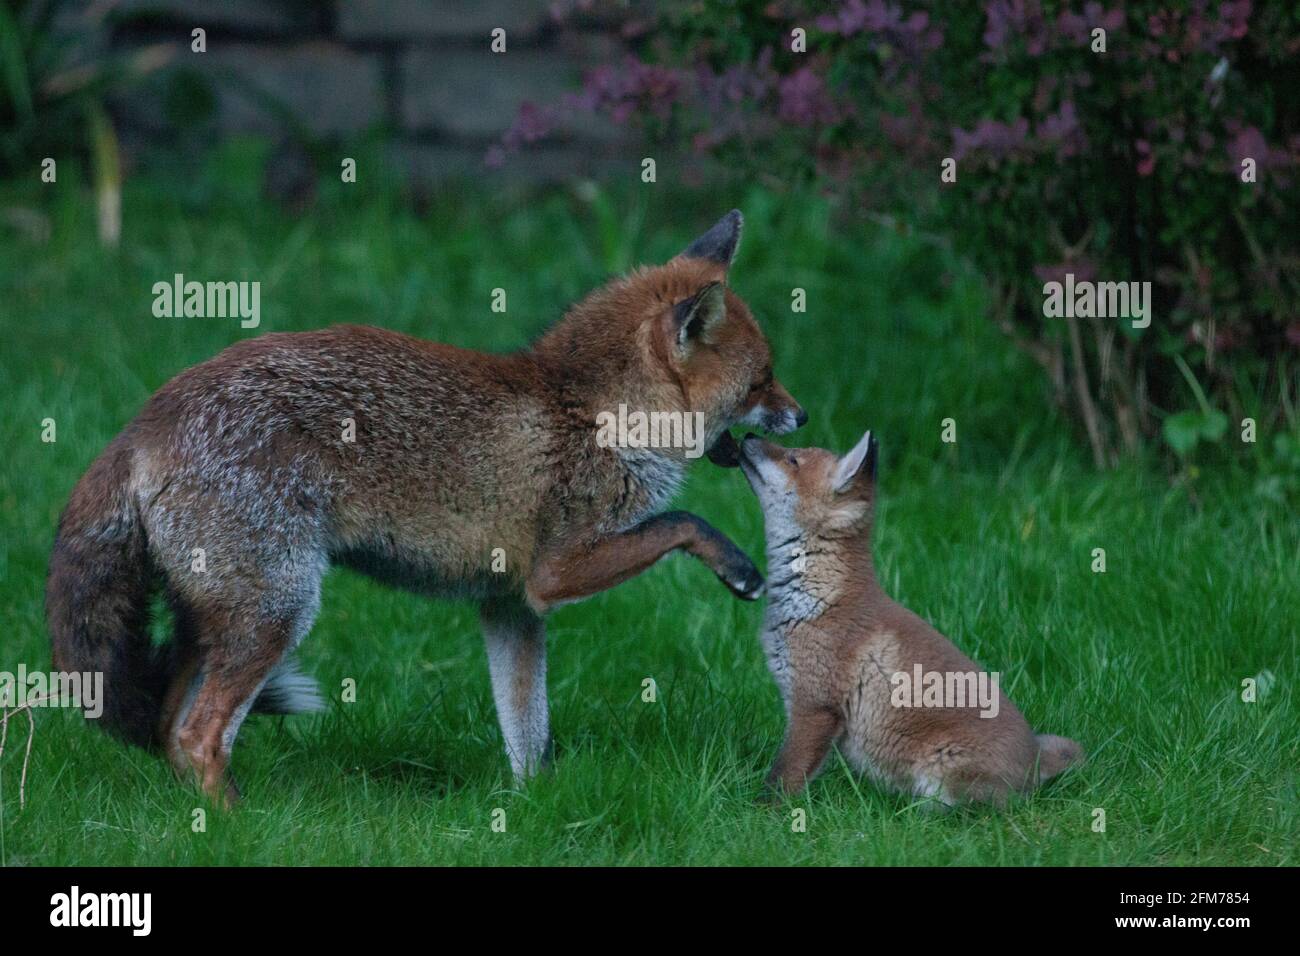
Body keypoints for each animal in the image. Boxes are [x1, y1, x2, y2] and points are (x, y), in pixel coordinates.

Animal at [46, 210, 806, 806]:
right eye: (762, 380)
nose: (801, 415)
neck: (594, 414)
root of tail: (146, 419)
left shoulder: (509, 606)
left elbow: (527, 734)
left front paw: (531, 816)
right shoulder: (554, 573)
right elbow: (682, 522)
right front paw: (739, 566)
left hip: (215, 618)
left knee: (167, 728)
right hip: (278, 610)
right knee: (199, 735)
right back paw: (239, 827)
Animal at [737, 429, 1083, 805]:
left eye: (792, 459)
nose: (748, 434)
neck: (816, 599)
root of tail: (1035, 760)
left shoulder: (814, 707)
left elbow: (783, 777)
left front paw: (762, 811)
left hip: (941, 774)